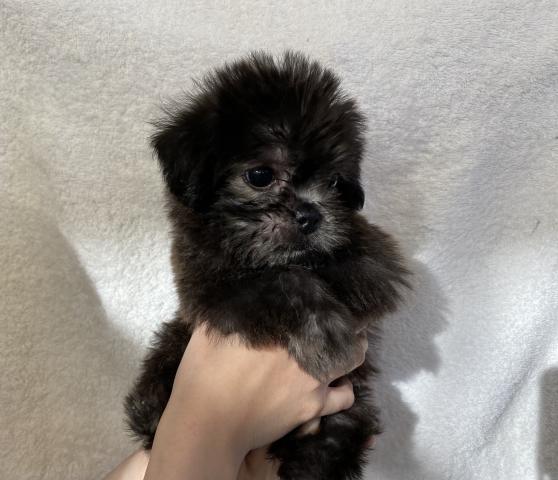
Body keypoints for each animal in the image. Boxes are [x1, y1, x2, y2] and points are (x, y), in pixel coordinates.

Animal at [125, 51, 408, 479]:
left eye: (335, 182)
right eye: (260, 175)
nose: (311, 214)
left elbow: (375, 260)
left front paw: (357, 277)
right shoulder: (211, 293)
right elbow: (281, 281)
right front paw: (327, 333)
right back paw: (153, 408)